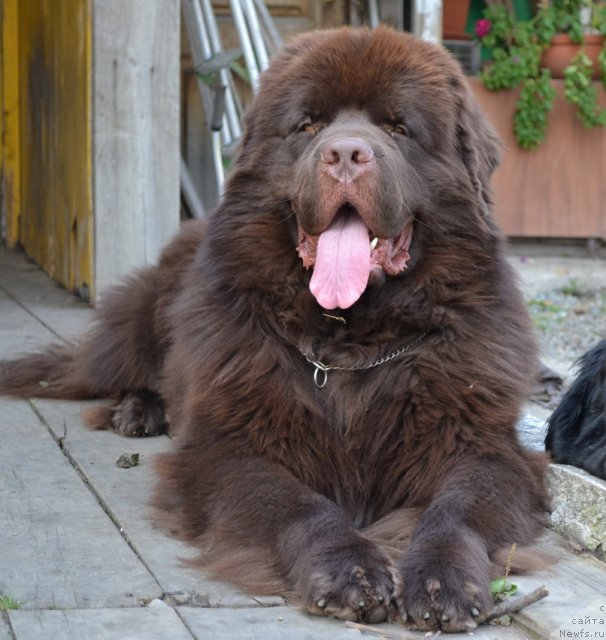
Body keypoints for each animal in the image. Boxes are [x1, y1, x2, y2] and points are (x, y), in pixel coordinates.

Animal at [1, 26, 552, 636]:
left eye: (398, 128)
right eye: (308, 125)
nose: (345, 153)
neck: (351, 346)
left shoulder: (480, 444)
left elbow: (458, 508)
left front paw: (444, 581)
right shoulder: (232, 445)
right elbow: (298, 504)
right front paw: (349, 570)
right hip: (145, 320)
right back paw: (138, 409)